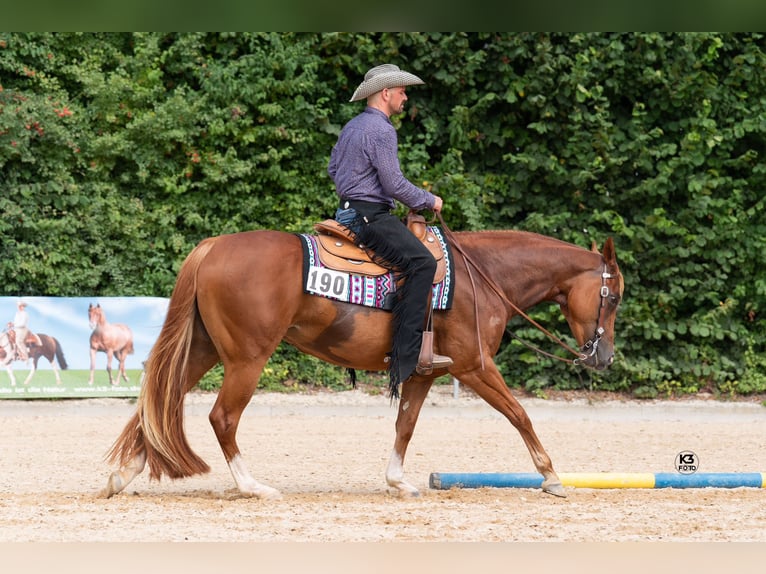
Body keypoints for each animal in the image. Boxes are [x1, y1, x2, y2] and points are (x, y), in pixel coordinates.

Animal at [102, 227, 624, 502]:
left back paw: (123, 474)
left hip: (203, 349)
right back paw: (252, 486)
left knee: (159, 400)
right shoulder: (474, 367)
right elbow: (520, 414)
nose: (604, 357)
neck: (484, 278)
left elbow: (405, 425)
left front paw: (398, 481)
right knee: (221, 417)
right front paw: (551, 476)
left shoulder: (425, 372)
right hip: (247, 358)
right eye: (614, 296)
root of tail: (212, 246)